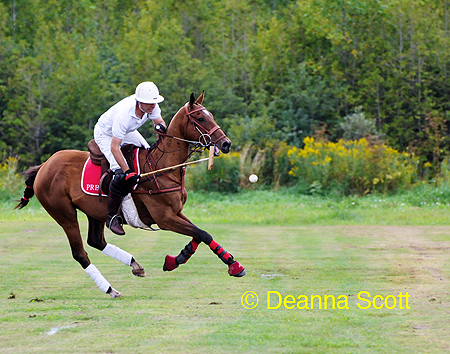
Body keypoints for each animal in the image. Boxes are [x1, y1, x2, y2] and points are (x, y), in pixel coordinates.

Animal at [14, 92, 246, 298]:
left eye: (211, 115)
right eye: (200, 118)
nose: (226, 144)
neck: (162, 168)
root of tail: (44, 165)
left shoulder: (176, 212)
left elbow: (199, 233)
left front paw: (177, 259)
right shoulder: (164, 218)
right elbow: (202, 233)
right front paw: (233, 265)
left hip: (95, 212)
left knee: (96, 241)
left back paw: (134, 264)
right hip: (64, 214)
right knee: (80, 253)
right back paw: (110, 289)